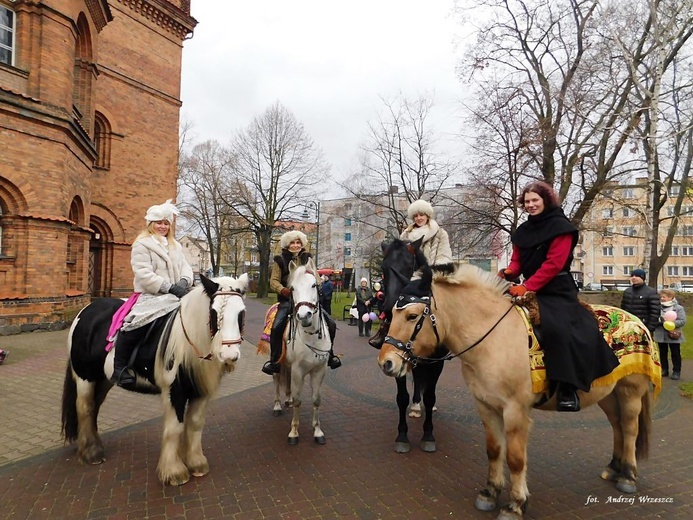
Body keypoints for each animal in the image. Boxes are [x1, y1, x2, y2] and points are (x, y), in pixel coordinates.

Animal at [60, 274, 249, 486]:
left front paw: (196, 464)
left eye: (241, 312)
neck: (188, 340)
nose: (229, 355)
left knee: (94, 407)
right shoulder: (174, 391)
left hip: (103, 379)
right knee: (85, 407)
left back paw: (95, 447)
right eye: (214, 312)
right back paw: (91, 453)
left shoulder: (199, 392)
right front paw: (173, 472)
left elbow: (195, 424)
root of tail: (85, 312)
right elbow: (174, 428)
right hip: (85, 377)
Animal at [278, 262, 330, 444]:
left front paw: (318, 431)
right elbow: (298, 400)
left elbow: (316, 399)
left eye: (314, 285)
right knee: (276, 383)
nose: (303, 315)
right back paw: (277, 405)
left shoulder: (319, 370)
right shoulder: (297, 370)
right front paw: (294, 432)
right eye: (292, 288)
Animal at [370, 238, 452, 452]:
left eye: (409, 266)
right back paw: (415, 406)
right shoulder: (395, 358)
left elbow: (430, 395)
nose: (389, 306)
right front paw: (402, 436)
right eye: (383, 268)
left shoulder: (436, 363)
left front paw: (428, 435)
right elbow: (402, 397)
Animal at [382, 266, 656, 516]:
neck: (494, 340)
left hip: (630, 391)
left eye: (412, 316)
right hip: (608, 394)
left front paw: (515, 504)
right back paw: (613, 468)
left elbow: (515, 459)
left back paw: (628, 476)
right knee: (617, 426)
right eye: (391, 313)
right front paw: (490, 493)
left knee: (629, 428)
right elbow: (494, 450)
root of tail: (638, 322)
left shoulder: (515, 411)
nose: (386, 362)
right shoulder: (486, 405)